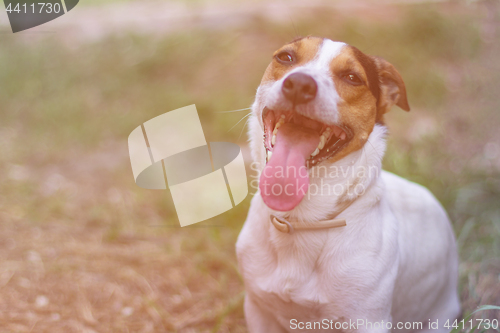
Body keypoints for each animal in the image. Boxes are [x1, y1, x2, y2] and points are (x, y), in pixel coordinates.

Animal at [235, 37, 460, 330]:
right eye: (285, 58)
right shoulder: (258, 309)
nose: (300, 84)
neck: (302, 220)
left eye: (352, 77)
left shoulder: (369, 322)